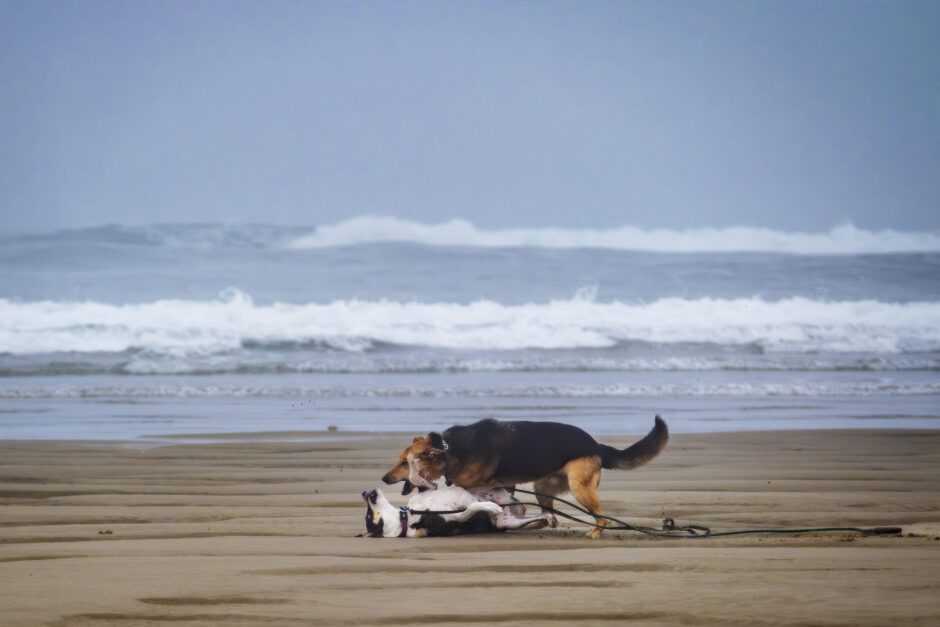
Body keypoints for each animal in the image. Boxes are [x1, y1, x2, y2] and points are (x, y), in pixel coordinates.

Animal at [382, 416, 668, 538]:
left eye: (403, 462)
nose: (384, 479)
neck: (449, 449)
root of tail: (596, 445)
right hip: (542, 485)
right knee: (550, 513)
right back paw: (542, 522)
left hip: (579, 487)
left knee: (601, 517)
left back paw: (595, 532)